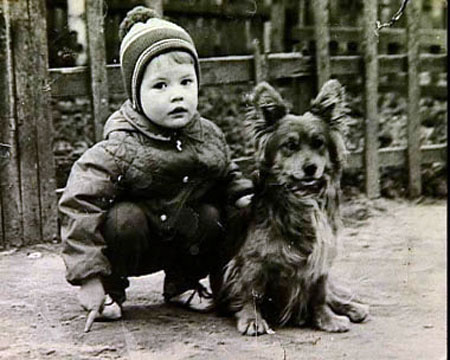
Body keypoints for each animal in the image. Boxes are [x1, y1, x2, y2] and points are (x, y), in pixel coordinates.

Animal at [214, 79, 370, 334]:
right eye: (290, 145)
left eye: (319, 143)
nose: (311, 168)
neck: (301, 197)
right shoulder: (251, 261)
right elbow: (251, 291)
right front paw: (252, 319)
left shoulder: (321, 258)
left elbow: (320, 294)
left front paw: (327, 319)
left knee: (333, 295)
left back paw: (353, 308)